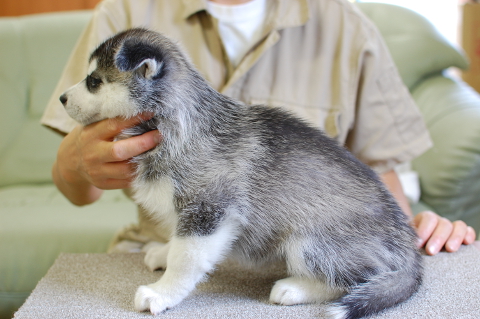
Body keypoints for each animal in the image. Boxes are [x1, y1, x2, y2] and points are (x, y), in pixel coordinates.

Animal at [59, 28, 420, 319]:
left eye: (94, 81)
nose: (61, 97)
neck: (179, 121)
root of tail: (409, 248)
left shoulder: (208, 210)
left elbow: (185, 258)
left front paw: (162, 292)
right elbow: (176, 242)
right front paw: (163, 251)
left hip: (310, 241)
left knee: (360, 275)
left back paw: (295, 288)